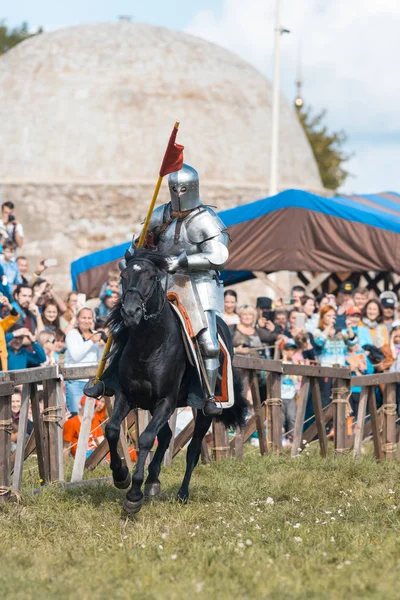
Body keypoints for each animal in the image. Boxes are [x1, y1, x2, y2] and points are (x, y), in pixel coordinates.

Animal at [102, 246, 247, 512]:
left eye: (151, 277)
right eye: (123, 277)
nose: (130, 313)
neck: (149, 346)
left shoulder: (166, 402)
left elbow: (146, 439)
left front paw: (134, 495)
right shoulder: (127, 396)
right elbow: (113, 429)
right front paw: (121, 475)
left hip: (202, 412)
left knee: (192, 450)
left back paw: (181, 493)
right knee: (167, 436)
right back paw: (153, 480)